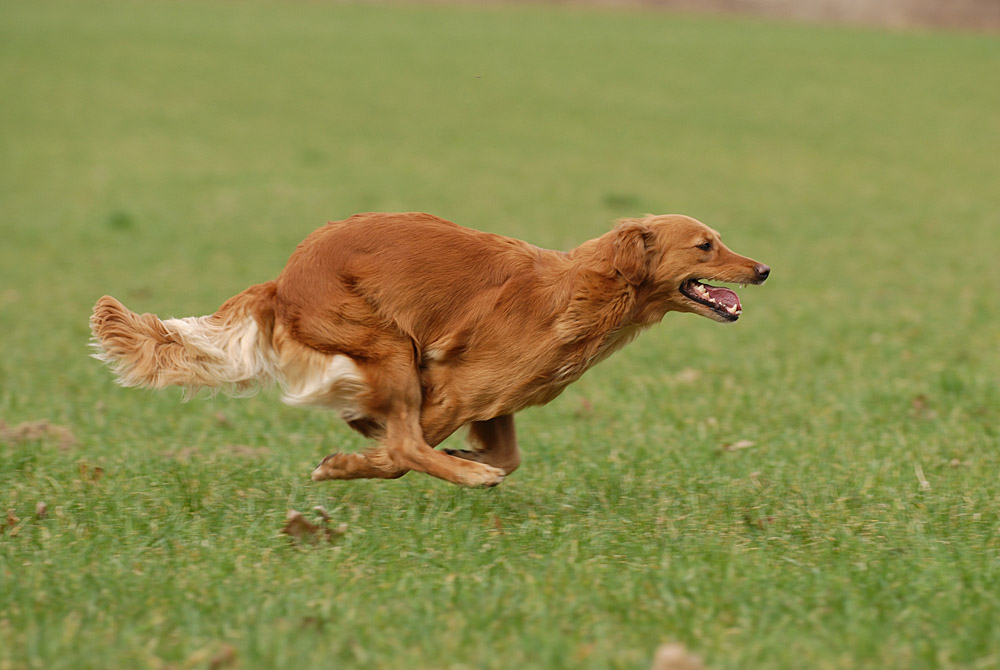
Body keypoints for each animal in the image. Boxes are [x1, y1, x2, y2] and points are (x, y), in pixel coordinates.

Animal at [90, 212, 768, 487]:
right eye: (705, 245)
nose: (763, 269)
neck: (585, 290)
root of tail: (283, 280)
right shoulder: (452, 389)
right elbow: (401, 451)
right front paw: (350, 463)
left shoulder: (495, 400)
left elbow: (508, 453)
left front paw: (473, 454)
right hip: (387, 345)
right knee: (406, 446)